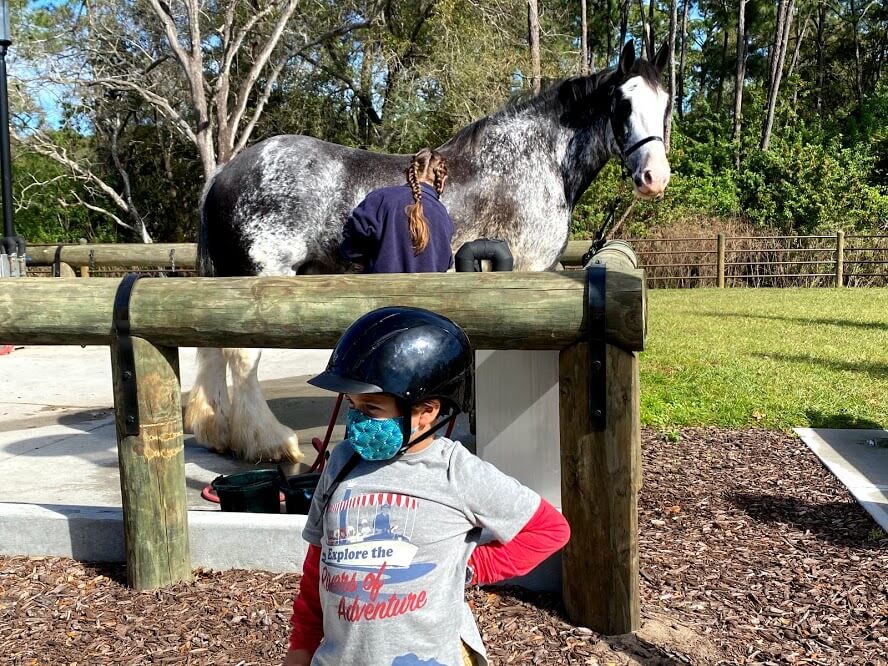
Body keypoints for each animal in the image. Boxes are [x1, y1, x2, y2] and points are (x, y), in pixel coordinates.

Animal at [189, 39, 672, 460]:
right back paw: (269, 442)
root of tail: (226, 173)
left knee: (213, 349)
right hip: (262, 278)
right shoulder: (527, 268)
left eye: (666, 105)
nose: (655, 177)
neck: (532, 159)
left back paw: (221, 435)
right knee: (242, 358)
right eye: (623, 104)